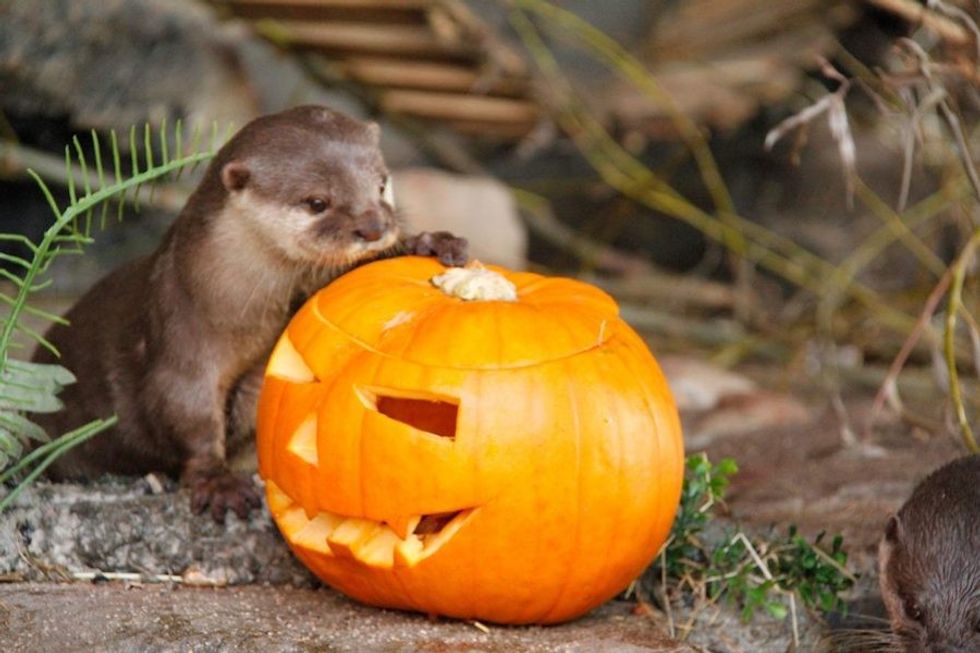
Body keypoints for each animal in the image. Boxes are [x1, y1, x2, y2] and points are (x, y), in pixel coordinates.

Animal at [31, 105, 467, 522]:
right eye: (317, 202)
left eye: (381, 183)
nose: (374, 227)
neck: (238, 305)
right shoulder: (180, 331)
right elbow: (182, 407)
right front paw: (218, 482)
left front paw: (429, 242)